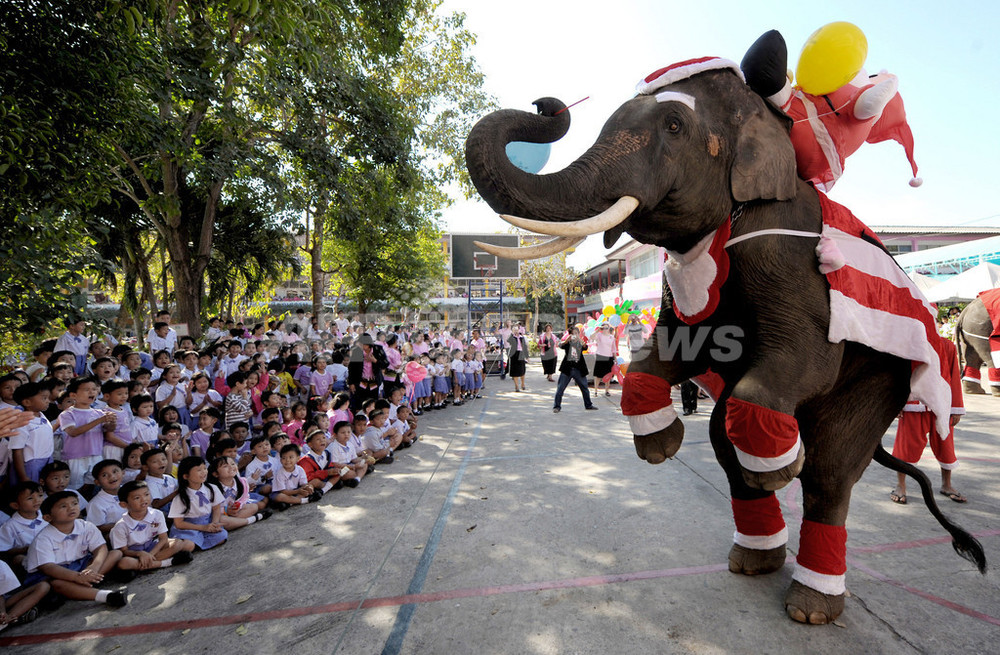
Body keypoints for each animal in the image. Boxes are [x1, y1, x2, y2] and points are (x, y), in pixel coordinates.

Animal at [466, 47, 984, 624]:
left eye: (674, 125)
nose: (547, 103)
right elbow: (670, 352)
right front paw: (660, 447)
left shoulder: (784, 250)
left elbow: (808, 357)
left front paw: (780, 469)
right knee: (722, 438)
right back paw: (754, 559)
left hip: (882, 376)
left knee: (828, 470)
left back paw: (810, 603)